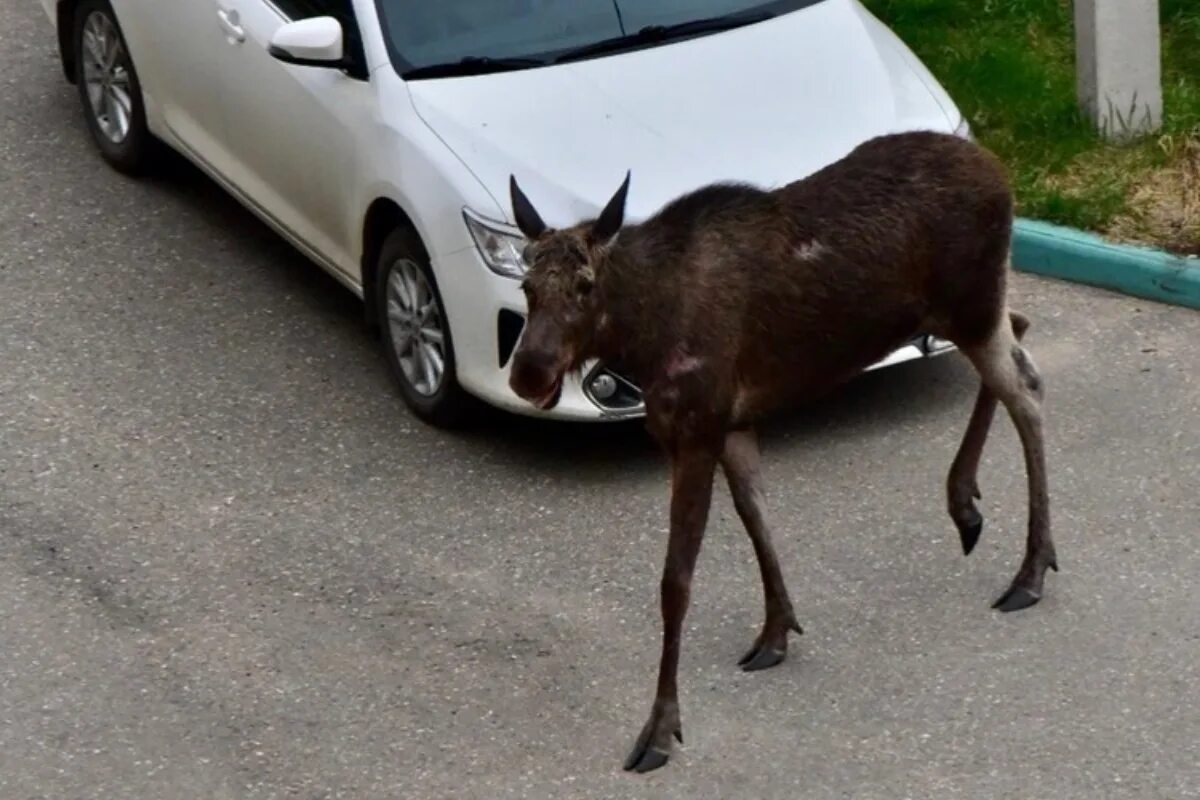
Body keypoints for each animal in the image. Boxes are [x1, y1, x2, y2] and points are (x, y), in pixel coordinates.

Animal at [506, 133, 1060, 777]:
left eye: (586, 284)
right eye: (526, 287)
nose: (528, 371)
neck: (642, 335)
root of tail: (1002, 173)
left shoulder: (696, 430)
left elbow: (676, 582)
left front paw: (660, 730)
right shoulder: (733, 424)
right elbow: (756, 515)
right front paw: (776, 631)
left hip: (971, 306)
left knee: (1027, 387)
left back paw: (1029, 568)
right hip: (971, 311)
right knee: (1021, 331)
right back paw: (965, 502)